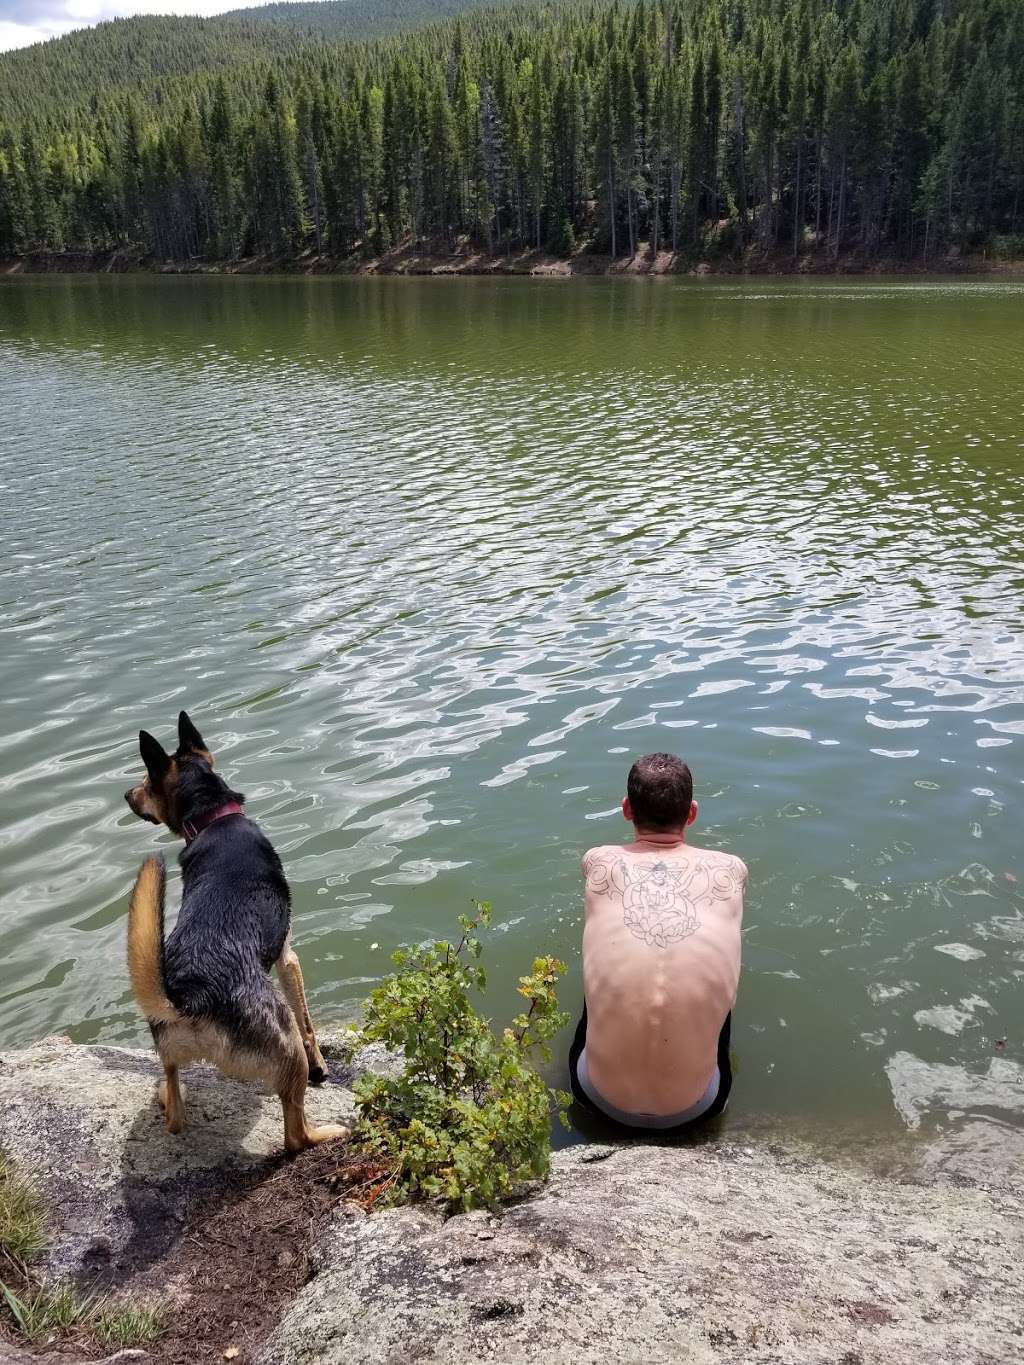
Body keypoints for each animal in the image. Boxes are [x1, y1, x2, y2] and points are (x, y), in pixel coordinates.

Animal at [121, 715, 349, 1152]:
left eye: (145, 782)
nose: (127, 795)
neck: (214, 818)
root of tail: (191, 997)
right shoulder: (287, 958)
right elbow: (310, 1025)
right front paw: (322, 1069)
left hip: (169, 1055)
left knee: (175, 1116)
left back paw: (166, 1096)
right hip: (286, 1044)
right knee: (294, 1134)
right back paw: (325, 1131)